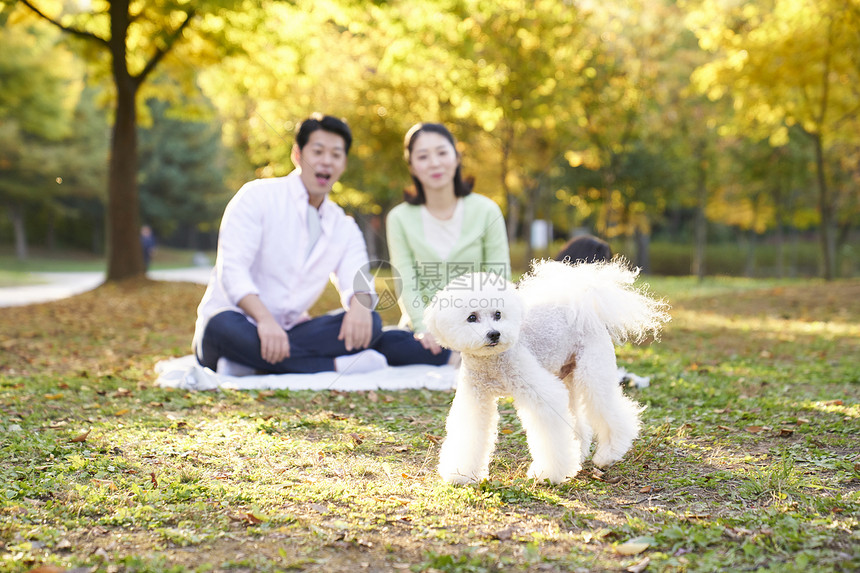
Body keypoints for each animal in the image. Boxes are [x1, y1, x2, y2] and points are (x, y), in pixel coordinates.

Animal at [424, 260, 672, 482]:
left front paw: (548, 474)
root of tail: (583, 304)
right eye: (472, 317)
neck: (492, 362)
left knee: (612, 412)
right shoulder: (475, 398)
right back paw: (580, 454)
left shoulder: (542, 395)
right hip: (569, 379)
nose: (494, 334)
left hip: (593, 375)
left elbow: (551, 437)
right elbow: (470, 432)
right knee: (579, 421)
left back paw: (608, 455)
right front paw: (461, 474)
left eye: (498, 314)